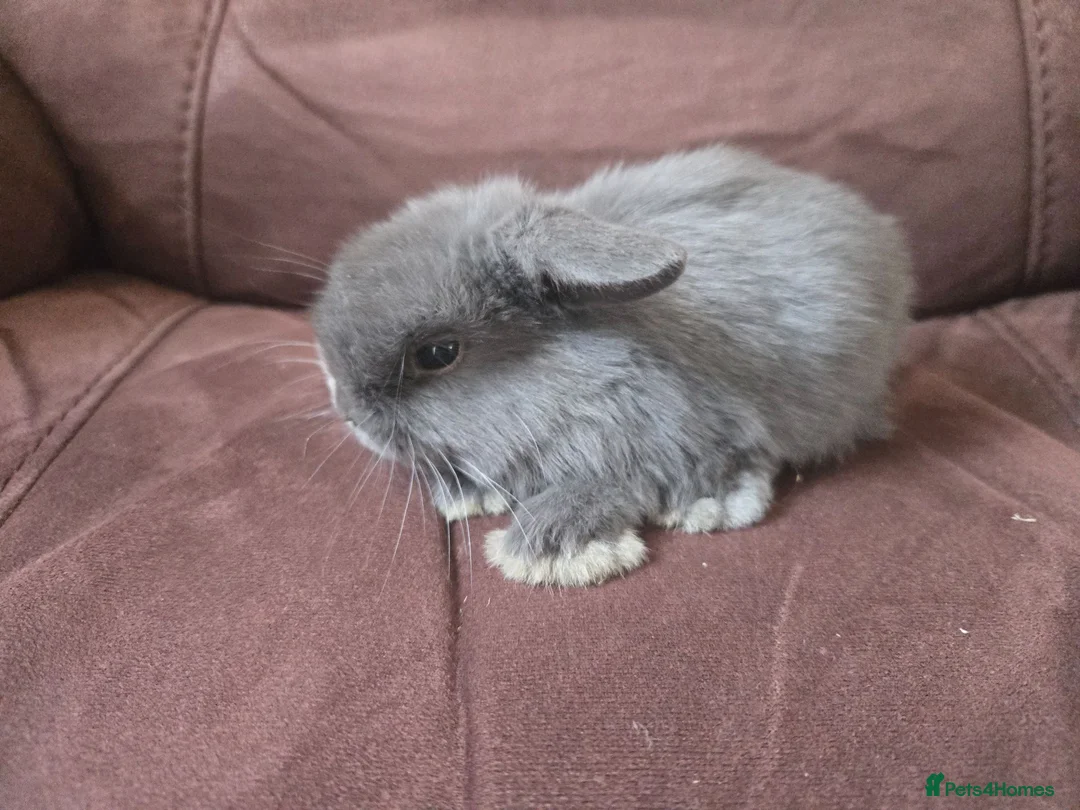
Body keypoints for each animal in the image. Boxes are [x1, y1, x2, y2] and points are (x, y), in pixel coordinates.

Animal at [311, 145, 913, 587]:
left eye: (438, 353)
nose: (350, 414)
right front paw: (466, 497)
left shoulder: (671, 440)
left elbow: (617, 486)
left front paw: (548, 550)